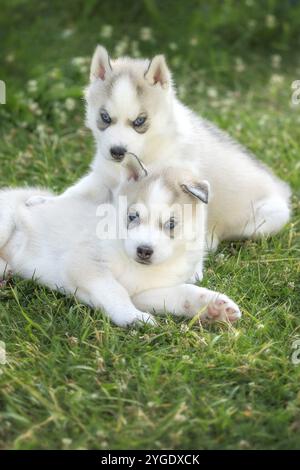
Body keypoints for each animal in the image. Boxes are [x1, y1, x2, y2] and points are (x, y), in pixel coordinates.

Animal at [0, 167, 240, 328]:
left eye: (171, 224)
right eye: (133, 217)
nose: (144, 250)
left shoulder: (144, 291)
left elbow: (182, 293)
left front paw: (213, 308)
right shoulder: (83, 263)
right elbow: (114, 290)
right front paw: (132, 317)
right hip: (6, 219)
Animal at [27, 45, 290, 280]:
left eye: (139, 121)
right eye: (105, 117)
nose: (117, 152)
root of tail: (282, 188)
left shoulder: (188, 182)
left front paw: (194, 268)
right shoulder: (102, 177)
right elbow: (73, 192)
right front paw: (43, 201)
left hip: (268, 217)